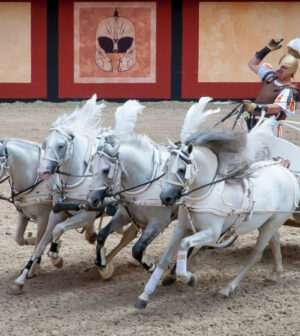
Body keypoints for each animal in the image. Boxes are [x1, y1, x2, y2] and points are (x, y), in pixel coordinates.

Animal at [10, 94, 106, 292]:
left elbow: (51, 234)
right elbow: (33, 242)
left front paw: (52, 258)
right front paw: (23, 276)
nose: (43, 171)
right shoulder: (48, 213)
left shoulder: (76, 215)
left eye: (61, 145)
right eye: (45, 143)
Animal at [135, 124, 298, 308]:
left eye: (182, 169)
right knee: (275, 242)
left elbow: (185, 245)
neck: (203, 195)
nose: (165, 197)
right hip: (269, 223)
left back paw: (228, 288)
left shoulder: (212, 234)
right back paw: (275, 273)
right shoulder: (181, 228)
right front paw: (144, 296)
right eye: (165, 167)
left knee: (256, 255)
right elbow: (164, 259)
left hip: (271, 224)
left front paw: (190, 277)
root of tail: (287, 173)